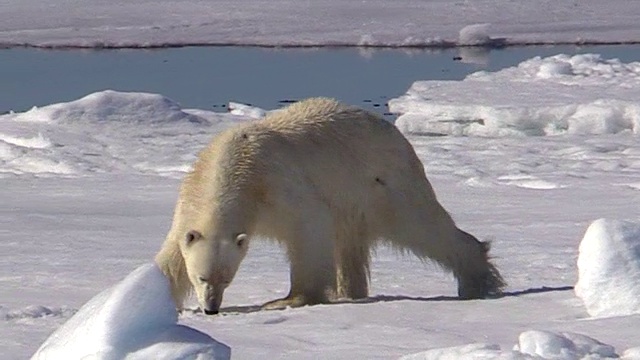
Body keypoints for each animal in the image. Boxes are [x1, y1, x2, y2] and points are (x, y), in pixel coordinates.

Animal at [155, 97, 504, 314]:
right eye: (202, 277)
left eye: (226, 278)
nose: (211, 308)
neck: (235, 165)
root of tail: (397, 135)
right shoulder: (187, 206)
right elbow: (171, 255)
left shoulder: (280, 187)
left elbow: (309, 229)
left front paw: (288, 300)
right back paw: (348, 290)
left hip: (382, 185)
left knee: (421, 226)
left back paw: (477, 280)